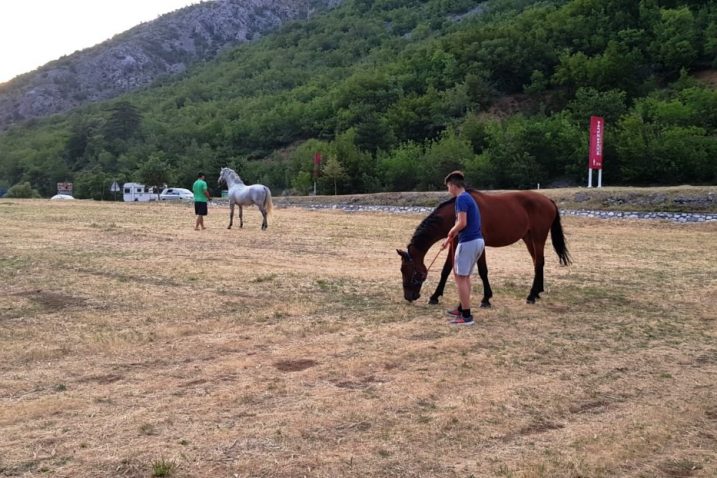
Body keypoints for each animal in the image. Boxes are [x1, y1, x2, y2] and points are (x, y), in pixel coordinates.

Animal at [398, 190, 572, 304]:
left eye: (408, 271)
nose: (408, 296)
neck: (457, 213)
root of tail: (548, 200)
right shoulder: (455, 243)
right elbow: (446, 270)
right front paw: (435, 296)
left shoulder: (479, 245)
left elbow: (483, 271)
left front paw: (486, 298)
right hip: (528, 239)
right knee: (538, 262)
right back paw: (537, 292)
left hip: (538, 238)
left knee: (539, 262)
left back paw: (531, 295)